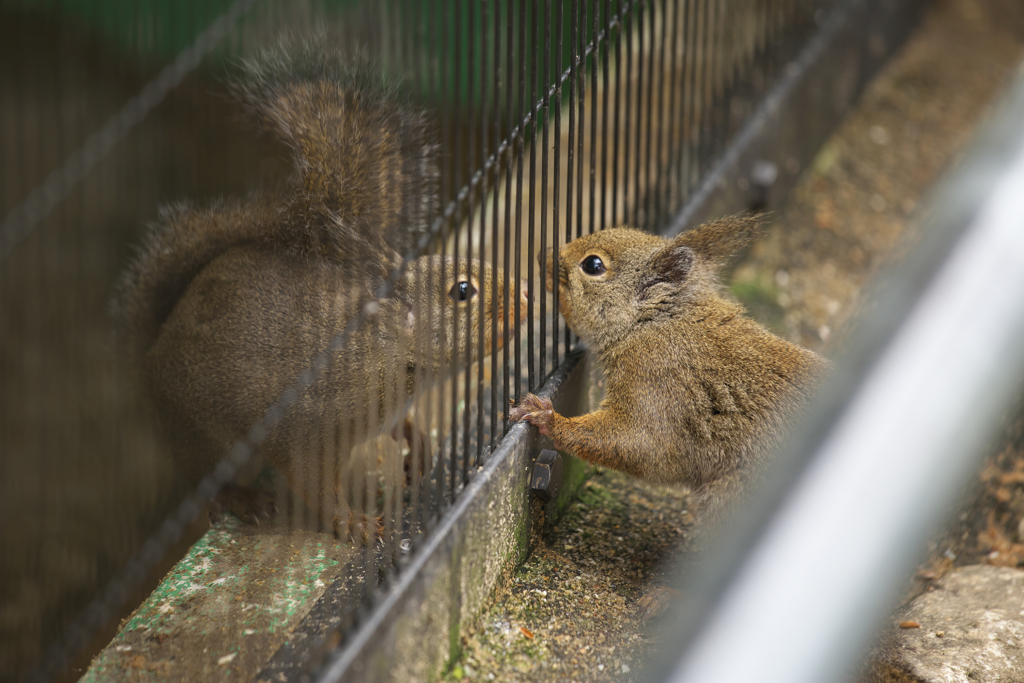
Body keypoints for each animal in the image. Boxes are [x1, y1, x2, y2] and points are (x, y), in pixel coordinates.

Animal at [507, 214, 827, 528]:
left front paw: (547, 417)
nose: (543, 255)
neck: (656, 322)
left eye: (593, 265)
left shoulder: (657, 381)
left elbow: (641, 445)